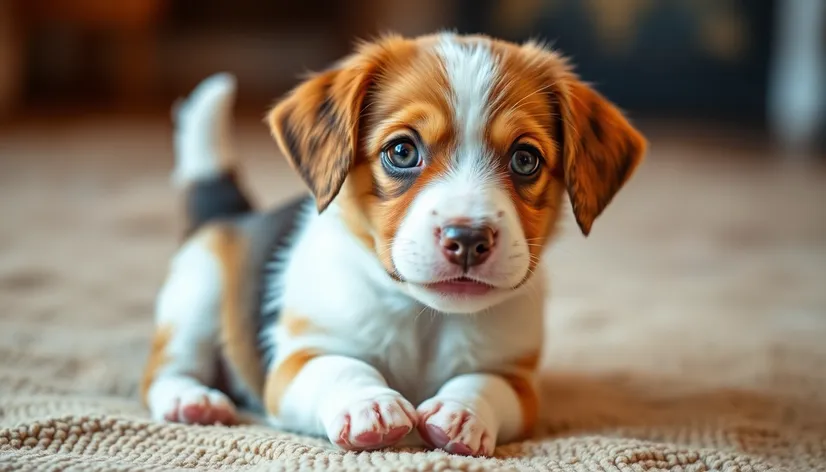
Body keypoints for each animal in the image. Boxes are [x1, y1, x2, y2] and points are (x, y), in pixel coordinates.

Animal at [142, 31, 644, 456]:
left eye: (525, 159)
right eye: (402, 151)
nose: (467, 239)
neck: (425, 318)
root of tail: (234, 214)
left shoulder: (517, 377)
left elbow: (483, 382)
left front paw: (461, 413)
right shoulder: (297, 363)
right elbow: (345, 367)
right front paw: (371, 405)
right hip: (196, 297)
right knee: (164, 370)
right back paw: (193, 400)